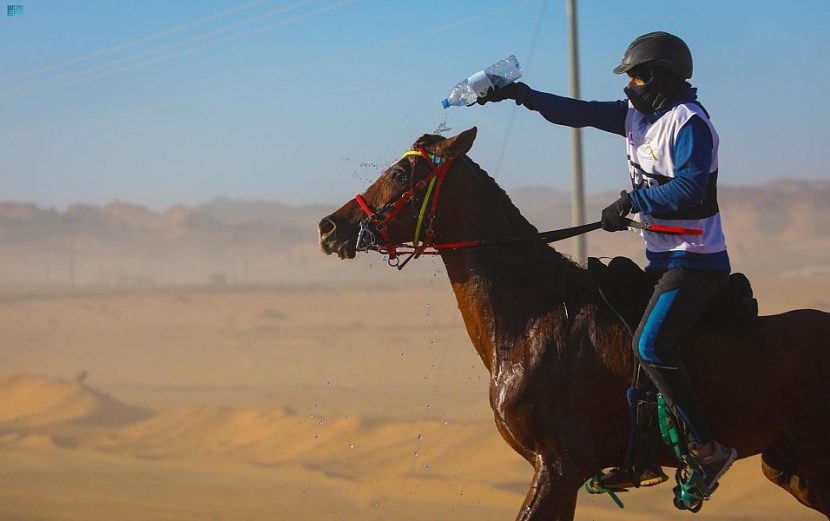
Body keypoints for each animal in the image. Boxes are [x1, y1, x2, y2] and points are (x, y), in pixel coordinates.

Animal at [318, 127, 830, 520]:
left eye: (399, 174)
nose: (329, 227)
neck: (531, 321)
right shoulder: (559, 473)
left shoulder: (560, 467)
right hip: (790, 468)